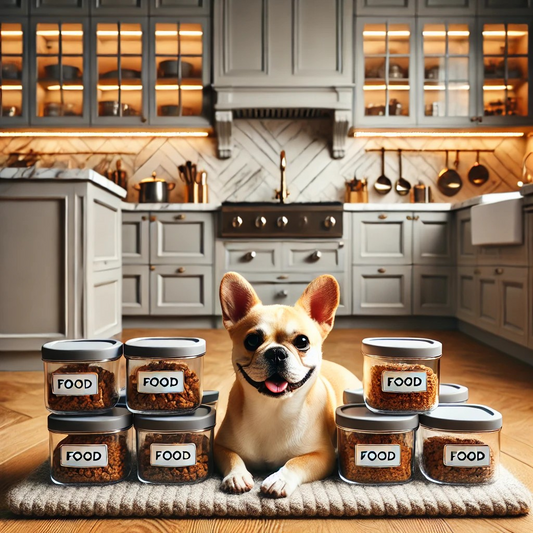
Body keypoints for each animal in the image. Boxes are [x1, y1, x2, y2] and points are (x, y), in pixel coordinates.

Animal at [215, 272, 362, 496]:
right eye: (252, 340)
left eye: (302, 341)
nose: (276, 352)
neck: (272, 408)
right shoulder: (220, 446)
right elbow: (232, 457)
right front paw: (236, 475)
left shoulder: (322, 456)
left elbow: (296, 462)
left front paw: (280, 479)